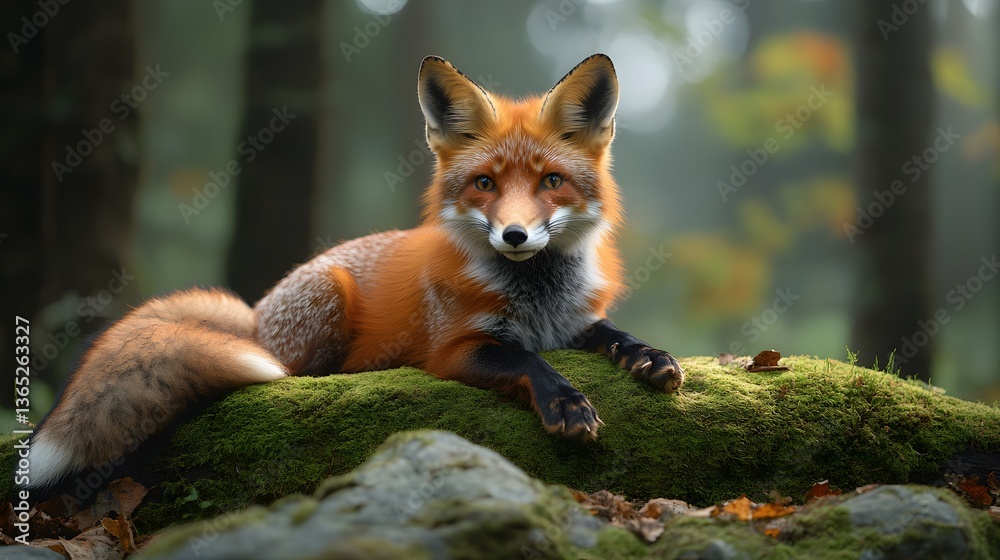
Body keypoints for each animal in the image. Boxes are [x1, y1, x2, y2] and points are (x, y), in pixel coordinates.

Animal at [25, 54, 684, 491]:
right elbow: (528, 360)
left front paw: (650, 356)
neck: (537, 299)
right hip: (327, 301)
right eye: (484, 184)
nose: (514, 236)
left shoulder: (574, 322)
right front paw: (567, 402)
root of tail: (253, 314)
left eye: (551, 181)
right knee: (297, 375)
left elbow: (612, 333)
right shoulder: (454, 348)